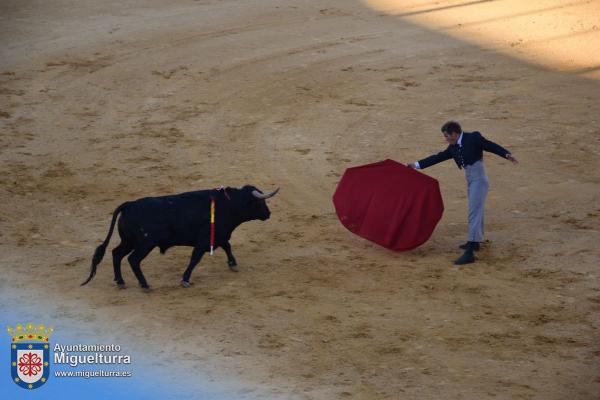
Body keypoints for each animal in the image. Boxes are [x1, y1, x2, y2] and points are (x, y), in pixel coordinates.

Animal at [81, 186, 278, 290]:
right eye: (261, 202)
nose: (268, 213)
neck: (229, 205)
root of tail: (128, 205)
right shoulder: (204, 242)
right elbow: (195, 259)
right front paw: (185, 279)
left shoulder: (219, 236)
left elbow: (228, 246)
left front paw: (233, 264)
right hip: (145, 244)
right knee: (133, 259)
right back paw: (144, 285)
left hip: (128, 241)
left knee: (116, 254)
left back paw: (121, 281)